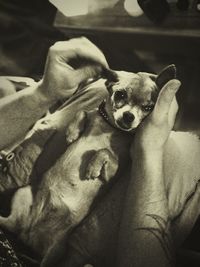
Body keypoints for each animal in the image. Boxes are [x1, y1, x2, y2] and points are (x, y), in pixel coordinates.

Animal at [0, 64, 177, 264]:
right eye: (120, 95)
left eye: (148, 107)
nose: (129, 116)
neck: (110, 128)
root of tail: (29, 234)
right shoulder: (89, 115)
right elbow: (82, 112)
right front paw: (72, 132)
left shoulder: (114, 171)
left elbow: (104, 151)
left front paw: (92, 167)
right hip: (22, 194)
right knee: (9, 223)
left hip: (55, 251)